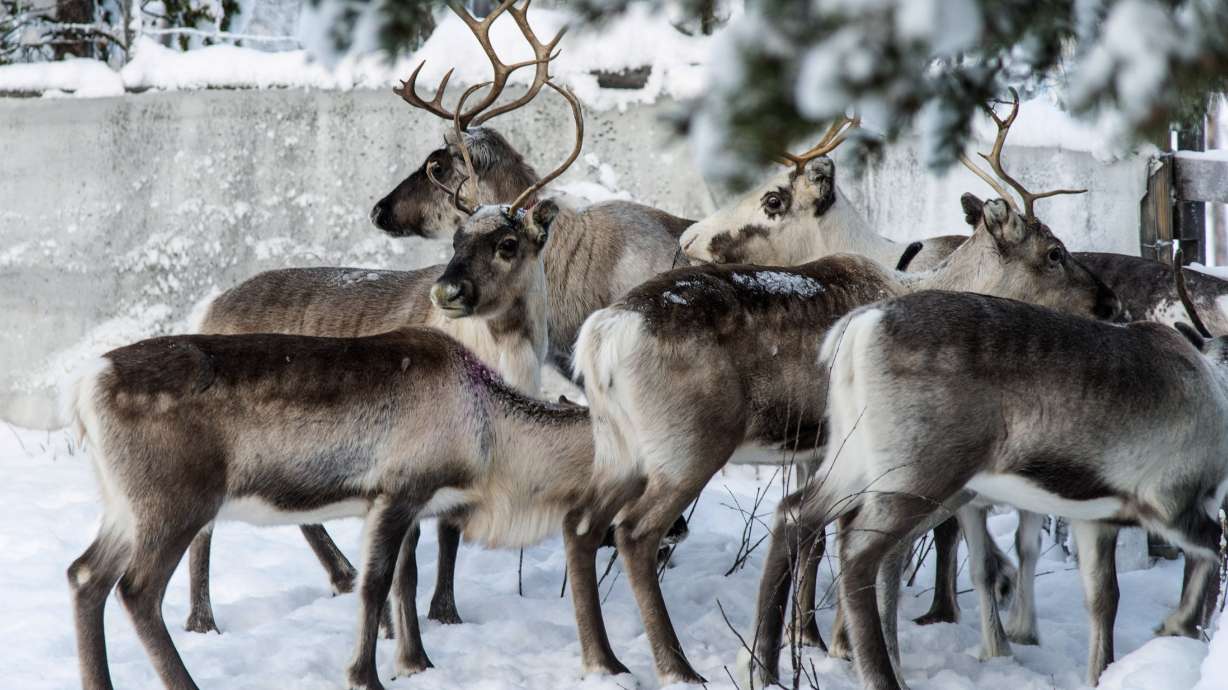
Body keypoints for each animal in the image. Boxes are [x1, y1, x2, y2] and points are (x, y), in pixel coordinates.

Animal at [61, 320, 651, 690]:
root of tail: (85, 389)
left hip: (122, 507)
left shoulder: (403, 505)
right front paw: (365, 676)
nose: (667, 532)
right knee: (136, 591)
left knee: (84, 574)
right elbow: (374, 585)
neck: (491, 440)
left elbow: (404, 581)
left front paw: (416, 663)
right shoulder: (399, 491)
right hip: (175, 503)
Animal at [182, 78, 582, 636]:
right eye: (455, 239)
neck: (506, 357)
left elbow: (450, 531)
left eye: (508, 243)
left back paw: (343, 575)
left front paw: (446, 613)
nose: (447, 291)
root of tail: (210, 307)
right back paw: (203, 620)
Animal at [572, 162, 1121, 683]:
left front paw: (818, 639)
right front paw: (844, 644)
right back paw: (676, 667)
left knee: (581, 523)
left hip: (617, 448)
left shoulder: (820, 451)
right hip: (688, 448)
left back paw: (605, 660)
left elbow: (821, 538)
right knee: (635, 533)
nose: (1111, 303)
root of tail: (602, 335)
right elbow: (855, 542)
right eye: (1054, 252)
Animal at [750, 266, 1228, 690]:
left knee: (795, 514)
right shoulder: (1172, 502)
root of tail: (859, 327)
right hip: (918, 473)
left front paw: (1102, 674)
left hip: (853, 459)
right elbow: (1213, 549)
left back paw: (764, 668)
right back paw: (879, 677)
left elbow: (1103, 599)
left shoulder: (1097, 517)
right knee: (859, 551)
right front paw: (1177, 624)